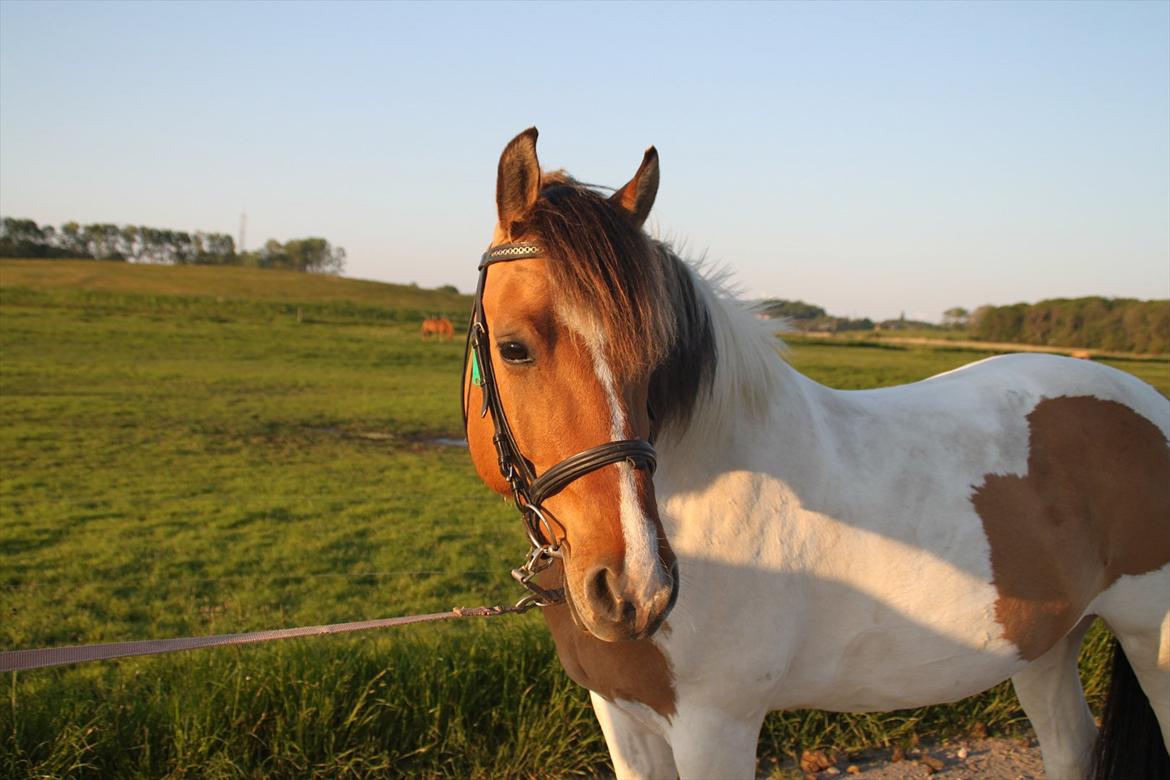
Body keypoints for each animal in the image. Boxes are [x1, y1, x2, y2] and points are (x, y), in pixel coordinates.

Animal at [460, 129, 1165, 780]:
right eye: (514, 347)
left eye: (657, 361)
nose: (634, 589)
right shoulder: (622, 717)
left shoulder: (716, 726)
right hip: (1048, 647)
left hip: (1149, 639)